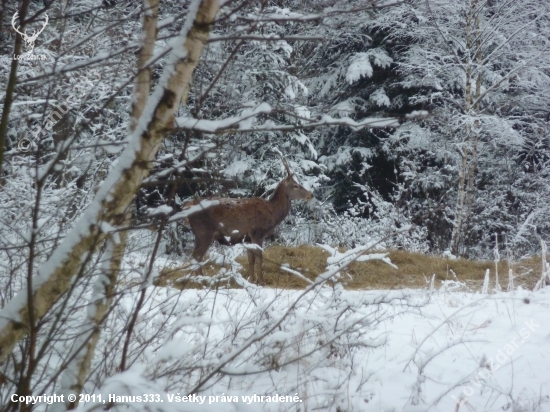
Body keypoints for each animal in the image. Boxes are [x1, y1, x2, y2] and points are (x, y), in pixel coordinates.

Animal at [187, 156, 312, 284]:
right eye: (295, 185)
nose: (311, 194)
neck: (273, 213)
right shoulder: (257, 232)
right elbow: (259, 258)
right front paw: (261, 282)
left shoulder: (247, 237)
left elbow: (251, 259)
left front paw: (251, 280)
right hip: (204, 232)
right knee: (196, 256)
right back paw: (202, 281)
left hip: (198, 235)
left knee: (194, 256)